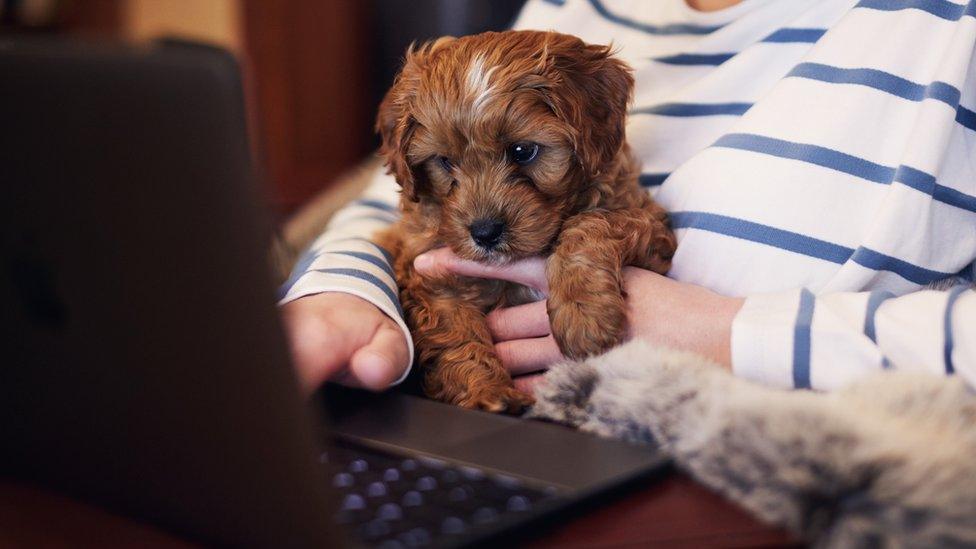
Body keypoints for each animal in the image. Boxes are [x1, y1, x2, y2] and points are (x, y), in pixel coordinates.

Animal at [376, 27, 680, 408]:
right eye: (445, 161)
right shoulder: (429, 277)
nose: (485, 232)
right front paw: (486, 393)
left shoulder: (651, 227)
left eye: (523, 151)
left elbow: (592, 223)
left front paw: (584, 312)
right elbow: (455, 338)